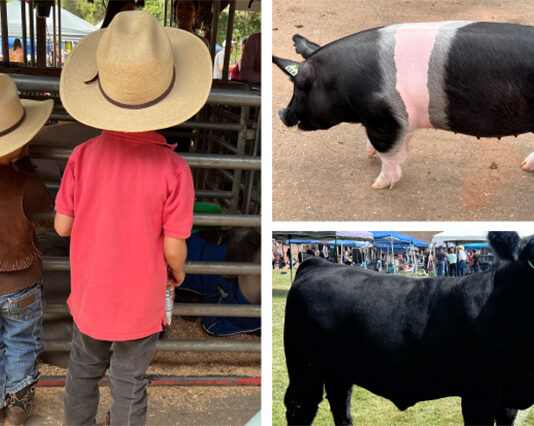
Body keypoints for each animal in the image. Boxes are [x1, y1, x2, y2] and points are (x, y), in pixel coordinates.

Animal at [276, 21, 534, 188]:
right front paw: (368, 154)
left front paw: (378, 185)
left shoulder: (386, 118)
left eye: (300, 86)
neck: (341, 82)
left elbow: (388, 153)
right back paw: (525, 166)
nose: (280, 112)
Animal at [286, 233, 534, 426]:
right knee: (300, 406)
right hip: (305, 368)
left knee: (340, 405)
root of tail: (319, 263)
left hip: (339, 370)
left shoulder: (508, 399)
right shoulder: (480, 394)